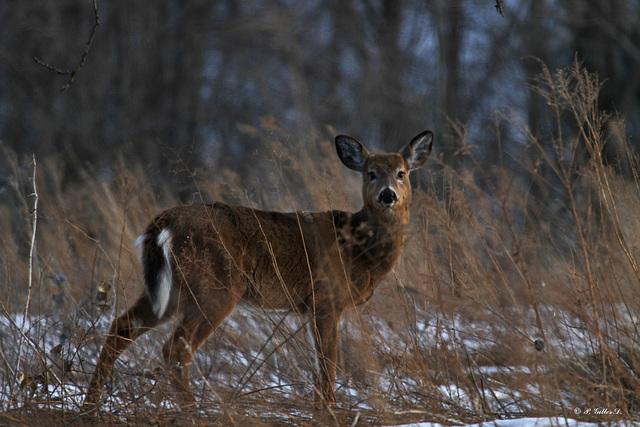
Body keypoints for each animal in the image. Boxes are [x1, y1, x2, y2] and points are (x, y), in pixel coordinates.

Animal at [85, 130, 432, 408]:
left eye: (401, 173)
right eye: (370, 173)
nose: (387, 195)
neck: (359, 249)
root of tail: (163, 222)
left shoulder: (310, 306)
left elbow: (321, 363)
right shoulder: (325, 298)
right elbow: (328, 362)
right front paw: (330, 410)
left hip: (168, 291)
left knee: (120, 327)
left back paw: (90, 405)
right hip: (216, 286)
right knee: (175, 349)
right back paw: (192, 411)